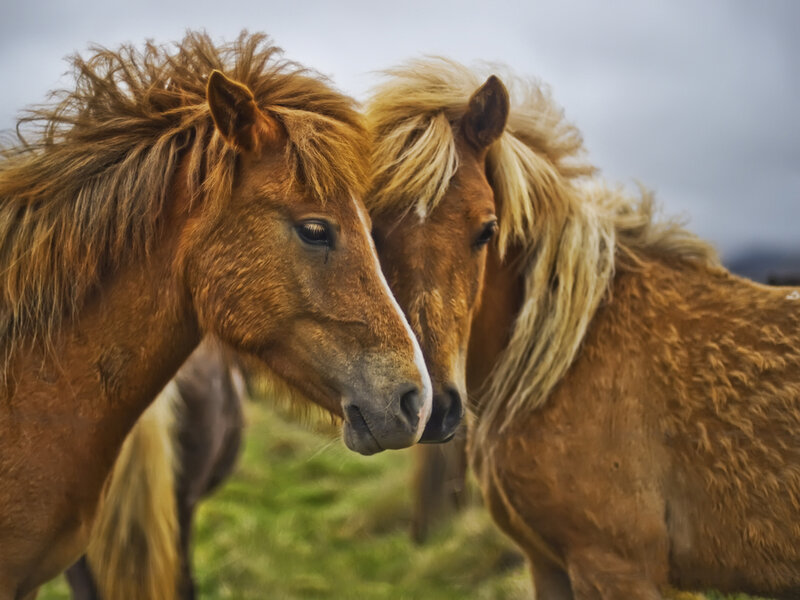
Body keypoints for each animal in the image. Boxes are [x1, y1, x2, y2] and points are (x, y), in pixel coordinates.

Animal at [366, 59, 800, 599]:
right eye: (370, 230)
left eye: (487, 229)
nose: (430, 409)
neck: (564, 360)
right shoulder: (547, 564)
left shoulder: (615, 567)